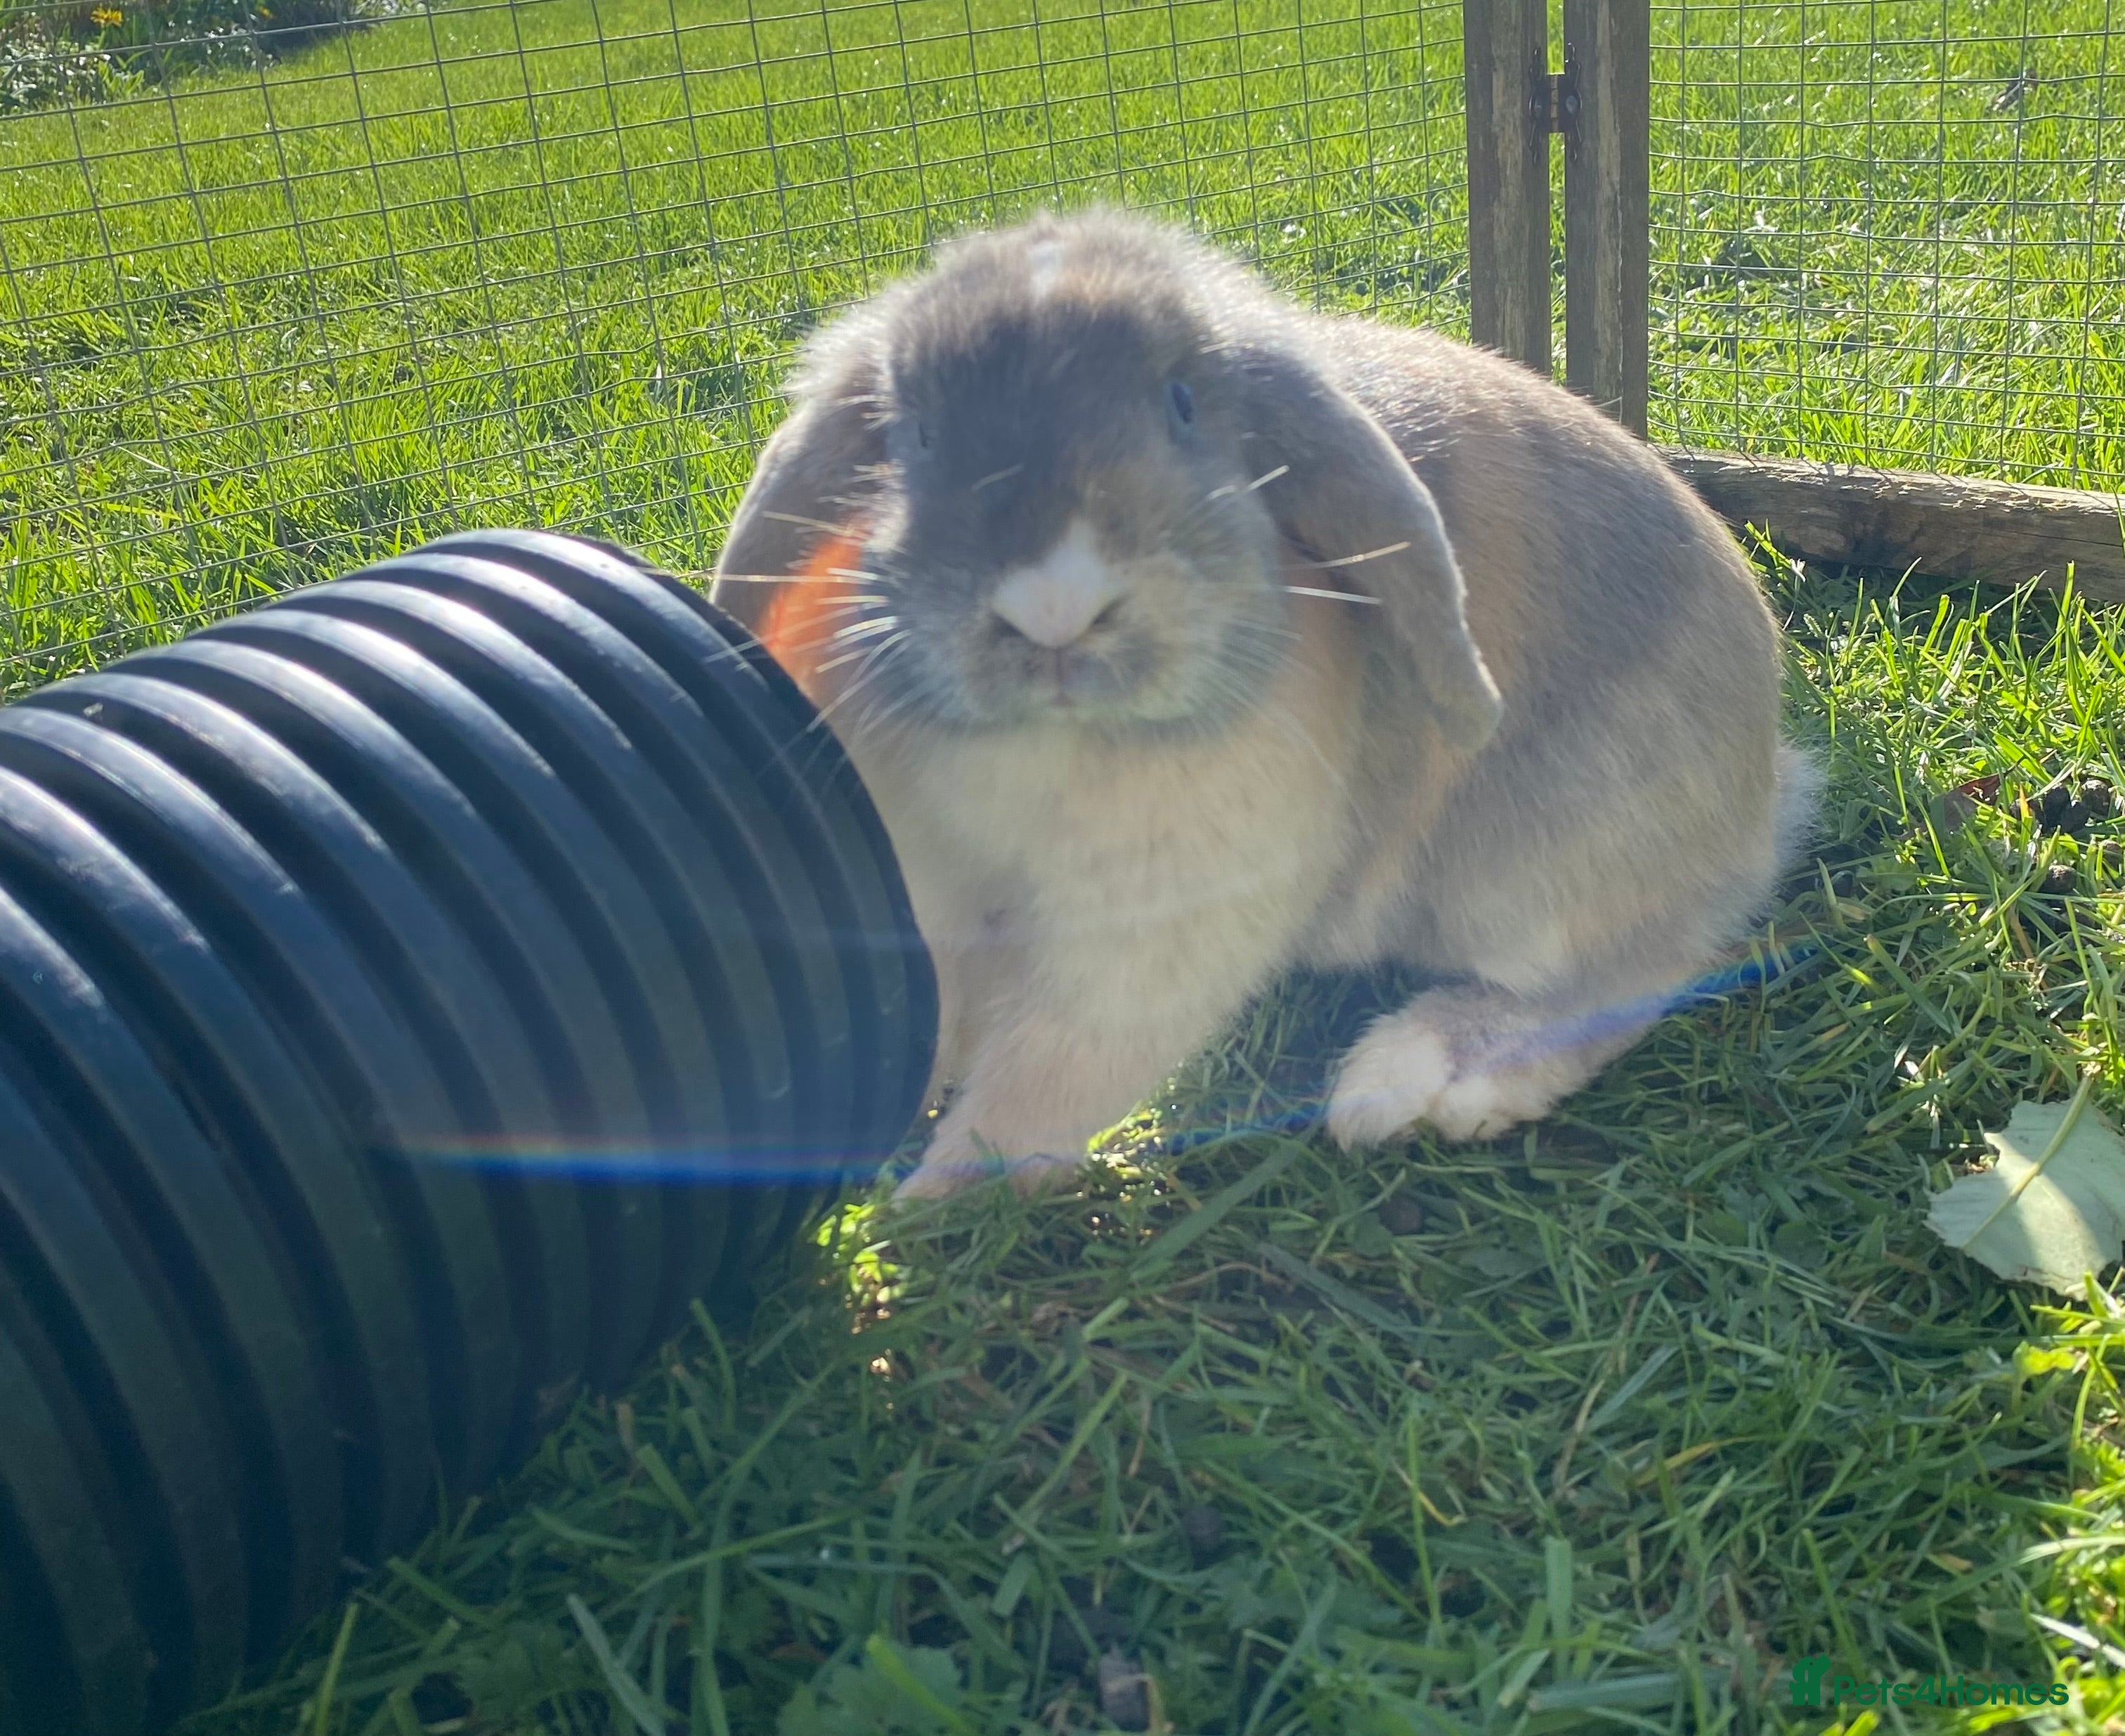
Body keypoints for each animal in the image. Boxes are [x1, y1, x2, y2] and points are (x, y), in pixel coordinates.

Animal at [709, 207, 1813, 1200]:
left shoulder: (1148, 940)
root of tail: (1767, 790)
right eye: (918, 434)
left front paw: (927, 1208)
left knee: (1639, 972)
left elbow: (1041, 1085)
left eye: (1184, 403)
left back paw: (1412, 1081)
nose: (1054, 606)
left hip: (1539, 877)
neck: (1051, 748)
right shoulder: (929, 892)